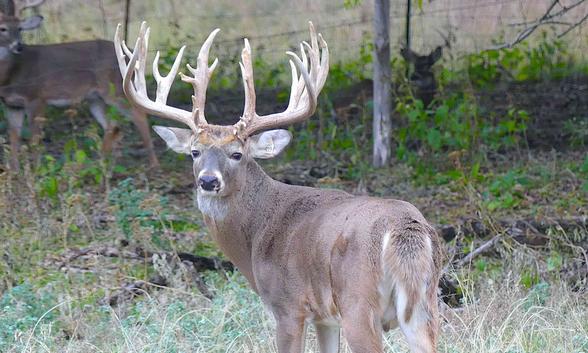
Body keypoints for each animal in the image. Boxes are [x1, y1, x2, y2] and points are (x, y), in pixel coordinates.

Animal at [0, 0, 158, 168]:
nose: (18, 46)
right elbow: (14, 136)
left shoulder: (36, 97)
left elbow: (34, 139)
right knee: (112, 125)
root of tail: (131, 54)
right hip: (95, 98)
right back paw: (103, 162)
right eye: (3, 28)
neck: (11, 75)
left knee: (139, 114)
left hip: (115, 88)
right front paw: (14, 170)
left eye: (19, 28)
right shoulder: (12, 105)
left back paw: (153, 164)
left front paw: (36, 169)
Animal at [117, 22, 444, 352]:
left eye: (237, 154)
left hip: (358, 302)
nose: (208, 181)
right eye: (195, 152)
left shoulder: (288, 305)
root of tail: (405, 230)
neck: (255, 235)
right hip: (423, 306)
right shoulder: (325, 317)